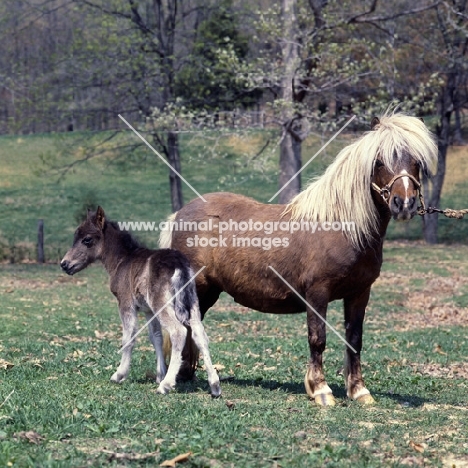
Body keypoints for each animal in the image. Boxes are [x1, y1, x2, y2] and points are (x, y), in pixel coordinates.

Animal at [60, 207, 221, 396]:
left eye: (87, 239)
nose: (64, 264)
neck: (122, 260)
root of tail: (179, 265)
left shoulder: (126, 304)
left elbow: (129, 337)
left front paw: (119, 375)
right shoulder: (148, 310)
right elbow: (156, 337)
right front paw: (159, 374)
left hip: (163, 305)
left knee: (178, 331)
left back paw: (166, 385)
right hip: (192, 302)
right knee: (199, 334)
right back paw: (214, 385)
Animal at [161, 114, 438, 406]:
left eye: (416, 161)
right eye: (379, 161)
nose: (404, 203)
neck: (341, 227)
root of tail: (179, 214)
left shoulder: (360, 293)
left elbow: (354, 339)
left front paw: (359, 390)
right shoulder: (317, 293)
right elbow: (318, 339)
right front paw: (320, 389)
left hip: (208, 292)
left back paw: (186, 374)